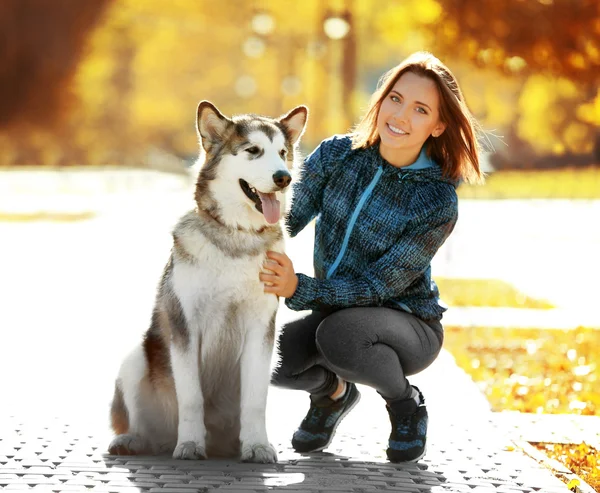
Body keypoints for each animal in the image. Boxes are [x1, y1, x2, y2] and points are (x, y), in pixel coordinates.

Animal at [106, 100, 310, 462]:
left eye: (282, 152)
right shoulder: (185, 326)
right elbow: (191, 397)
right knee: (143, 425)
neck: (236, 237)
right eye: (253, 151)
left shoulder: (261, 329)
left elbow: (255, 401)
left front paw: (257, 446)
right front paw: (189, 444)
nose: (283, 178)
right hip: (136, 359)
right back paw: (134, 440)